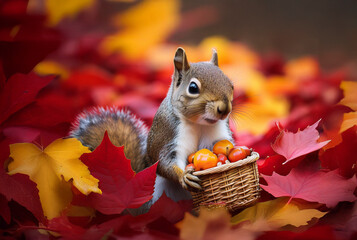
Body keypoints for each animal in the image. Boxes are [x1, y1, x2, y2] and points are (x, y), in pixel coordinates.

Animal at [71, 48, 235, 206]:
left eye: (231, 84)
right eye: (193, 87)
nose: (224, 109)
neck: (199, 124)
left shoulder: (218, 134)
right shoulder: (168, 137)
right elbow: (163, 162)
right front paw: (183, 176)